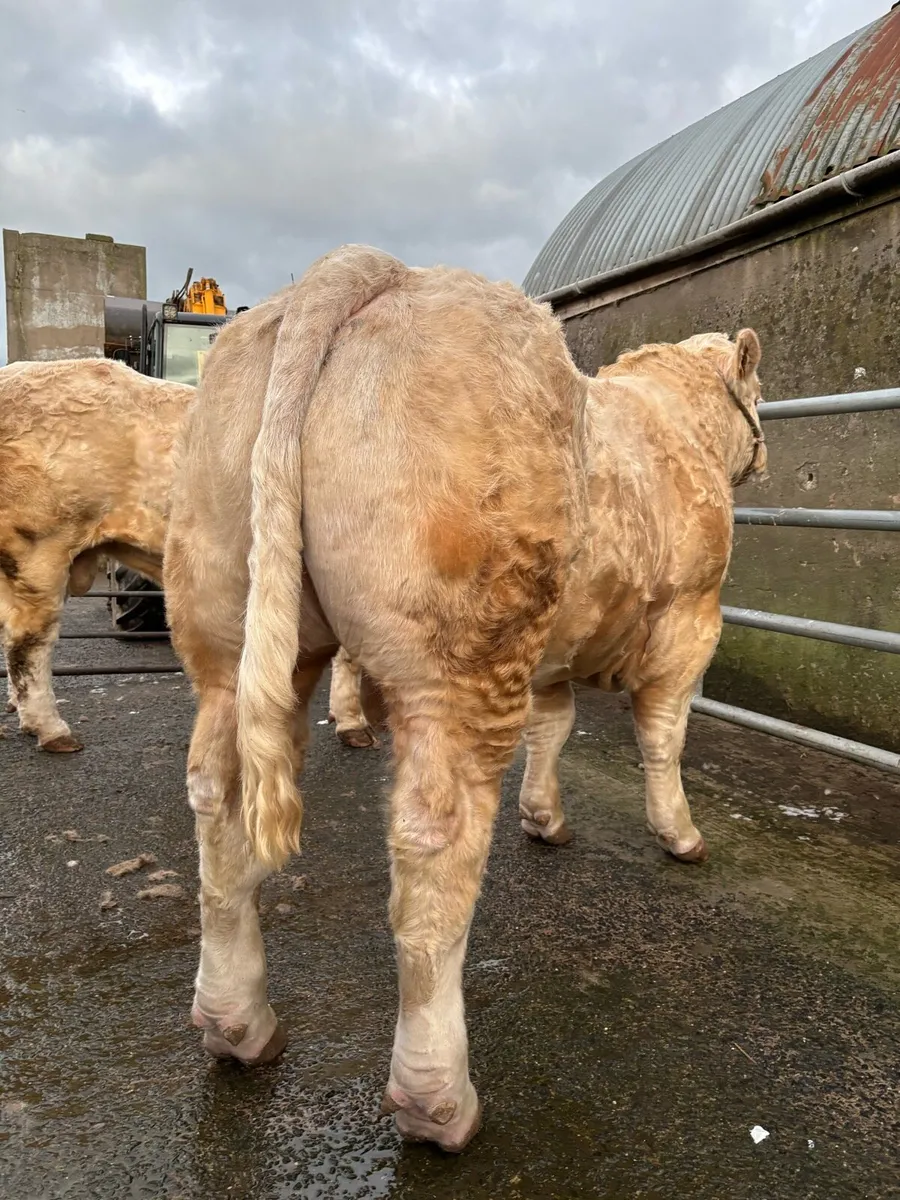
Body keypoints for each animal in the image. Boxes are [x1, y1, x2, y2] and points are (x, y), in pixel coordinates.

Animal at [328, 328, 767, 861]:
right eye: (760, 394)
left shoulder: (559, 633)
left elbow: (551, 725)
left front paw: (542, 816)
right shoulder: (688, 617)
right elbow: (663, 732)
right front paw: (679, 833)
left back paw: (352, 723)